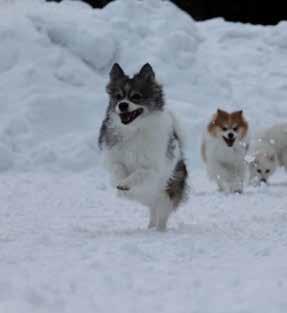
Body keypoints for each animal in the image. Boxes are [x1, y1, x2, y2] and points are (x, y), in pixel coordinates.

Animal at [99, 62, 189, 229]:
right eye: (118, 97)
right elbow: (118, 168)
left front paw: (125, 183)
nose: (122, 105)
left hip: (167, 192)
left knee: (162, 214)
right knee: (153, 211)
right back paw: (150, 227)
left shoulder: (152, 168)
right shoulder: (114, 158)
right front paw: (121, 184)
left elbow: (138, 173)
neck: (134, 130)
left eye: (136, 96)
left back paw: (159, 230)